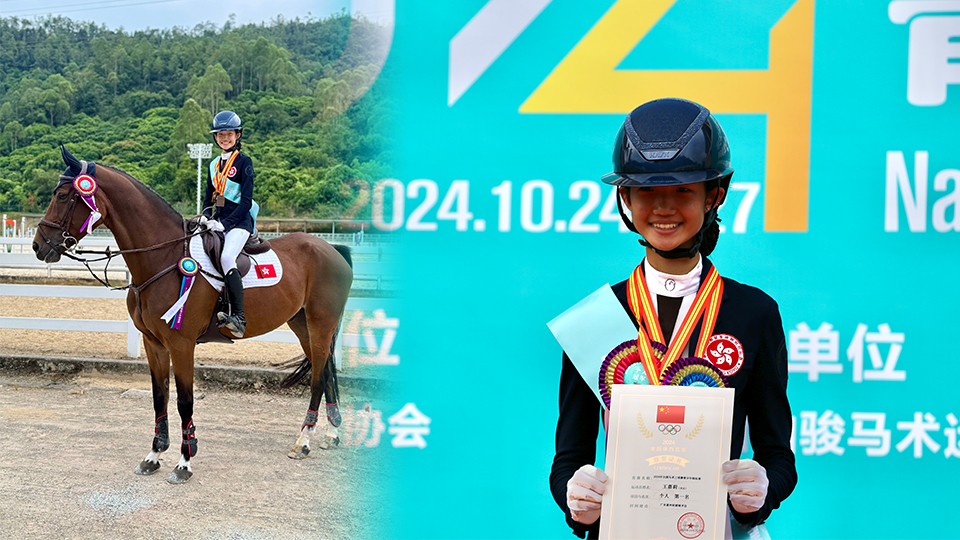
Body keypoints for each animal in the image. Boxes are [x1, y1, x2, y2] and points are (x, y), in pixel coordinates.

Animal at [33, 148, 358, 486]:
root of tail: (331, 248)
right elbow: (159, 397)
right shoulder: (154, 343)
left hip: (320, 325)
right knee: (327, 371)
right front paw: (153, 455)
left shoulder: (181, 344)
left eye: (62, 195)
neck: (162, 258)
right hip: (302, 325)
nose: (38, 246)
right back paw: (331, 434)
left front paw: (184, 462)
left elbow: (184, 401)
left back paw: (304, 441)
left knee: (318, 378)